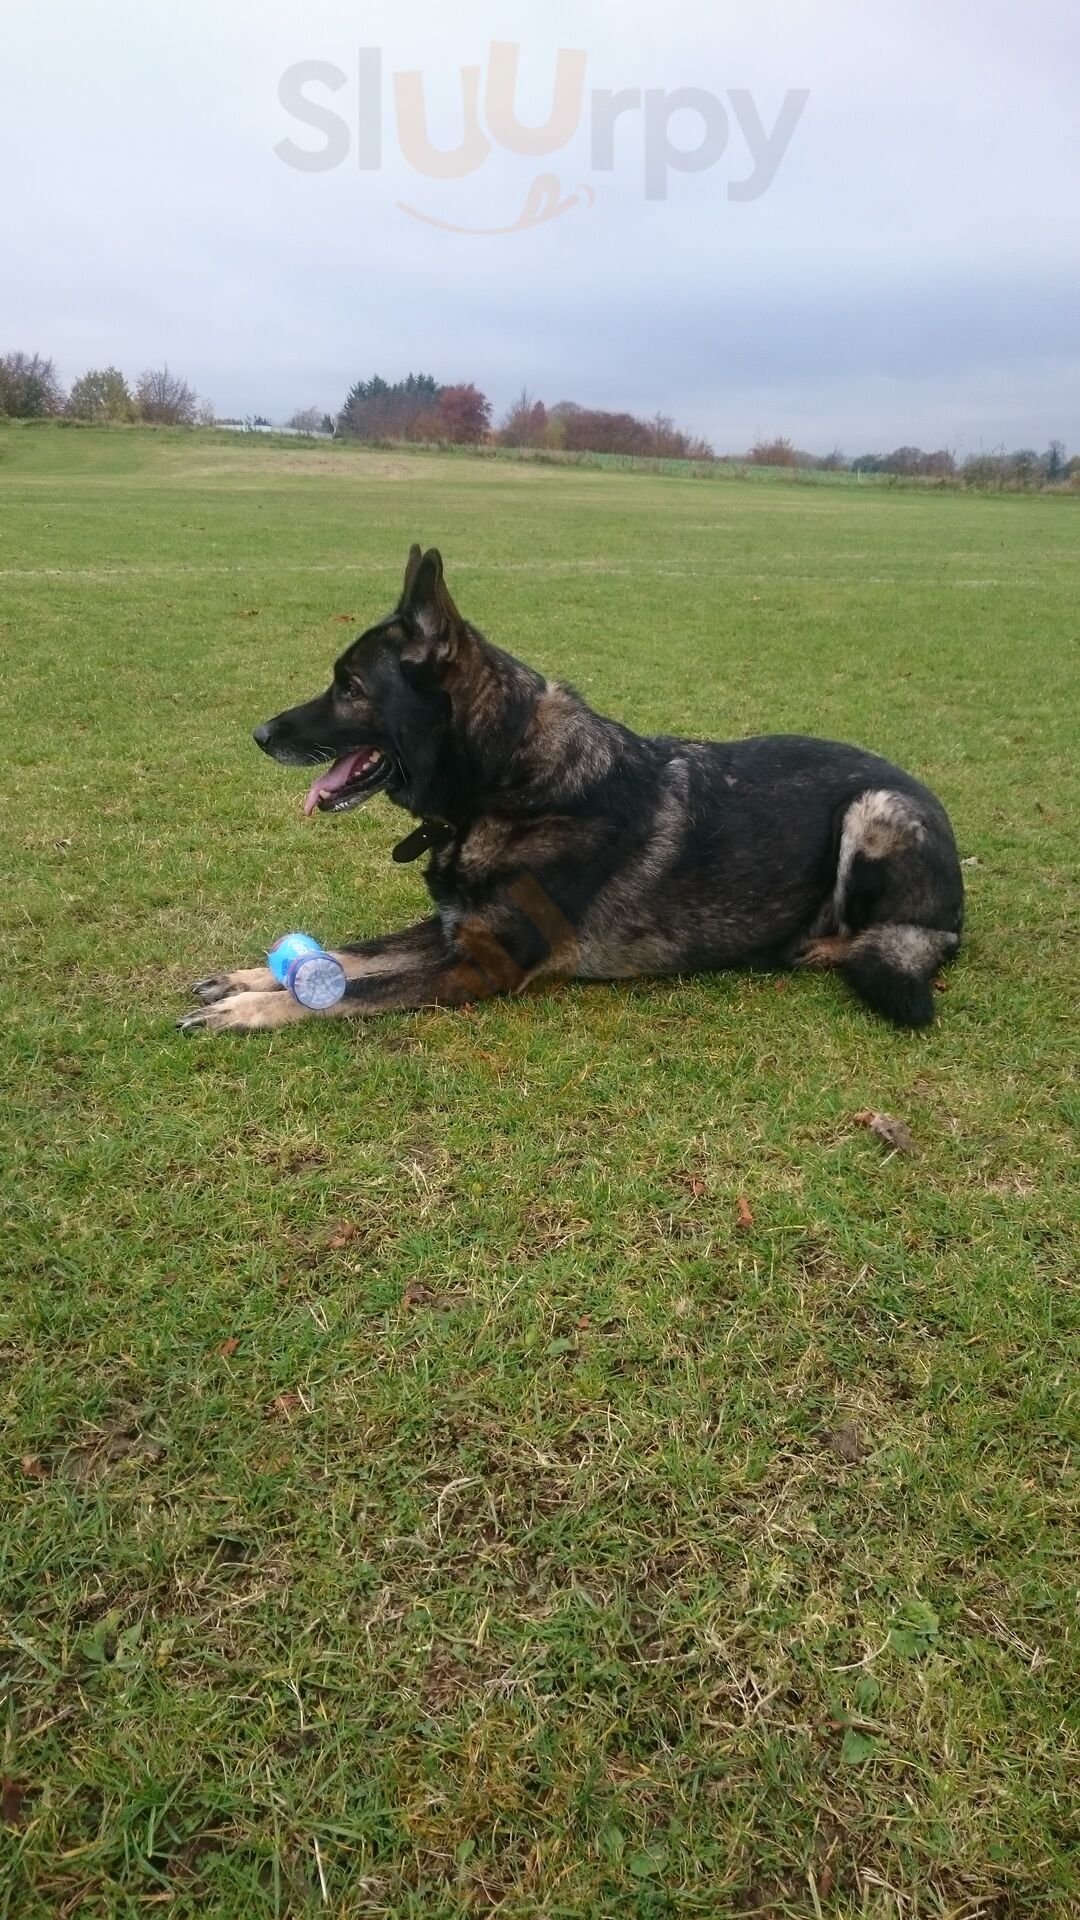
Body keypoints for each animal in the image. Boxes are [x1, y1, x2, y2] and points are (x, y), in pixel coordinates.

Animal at [179, 545, 963, 1034]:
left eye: (349, 687)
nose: (259, 734)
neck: (501, 782)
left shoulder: (478, 966)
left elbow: (353, 991)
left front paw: (251, 1012)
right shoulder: (451, 929)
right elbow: (350, 956)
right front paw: (247, 980)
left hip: (874, 812)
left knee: (905, 937)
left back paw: (815, 947)